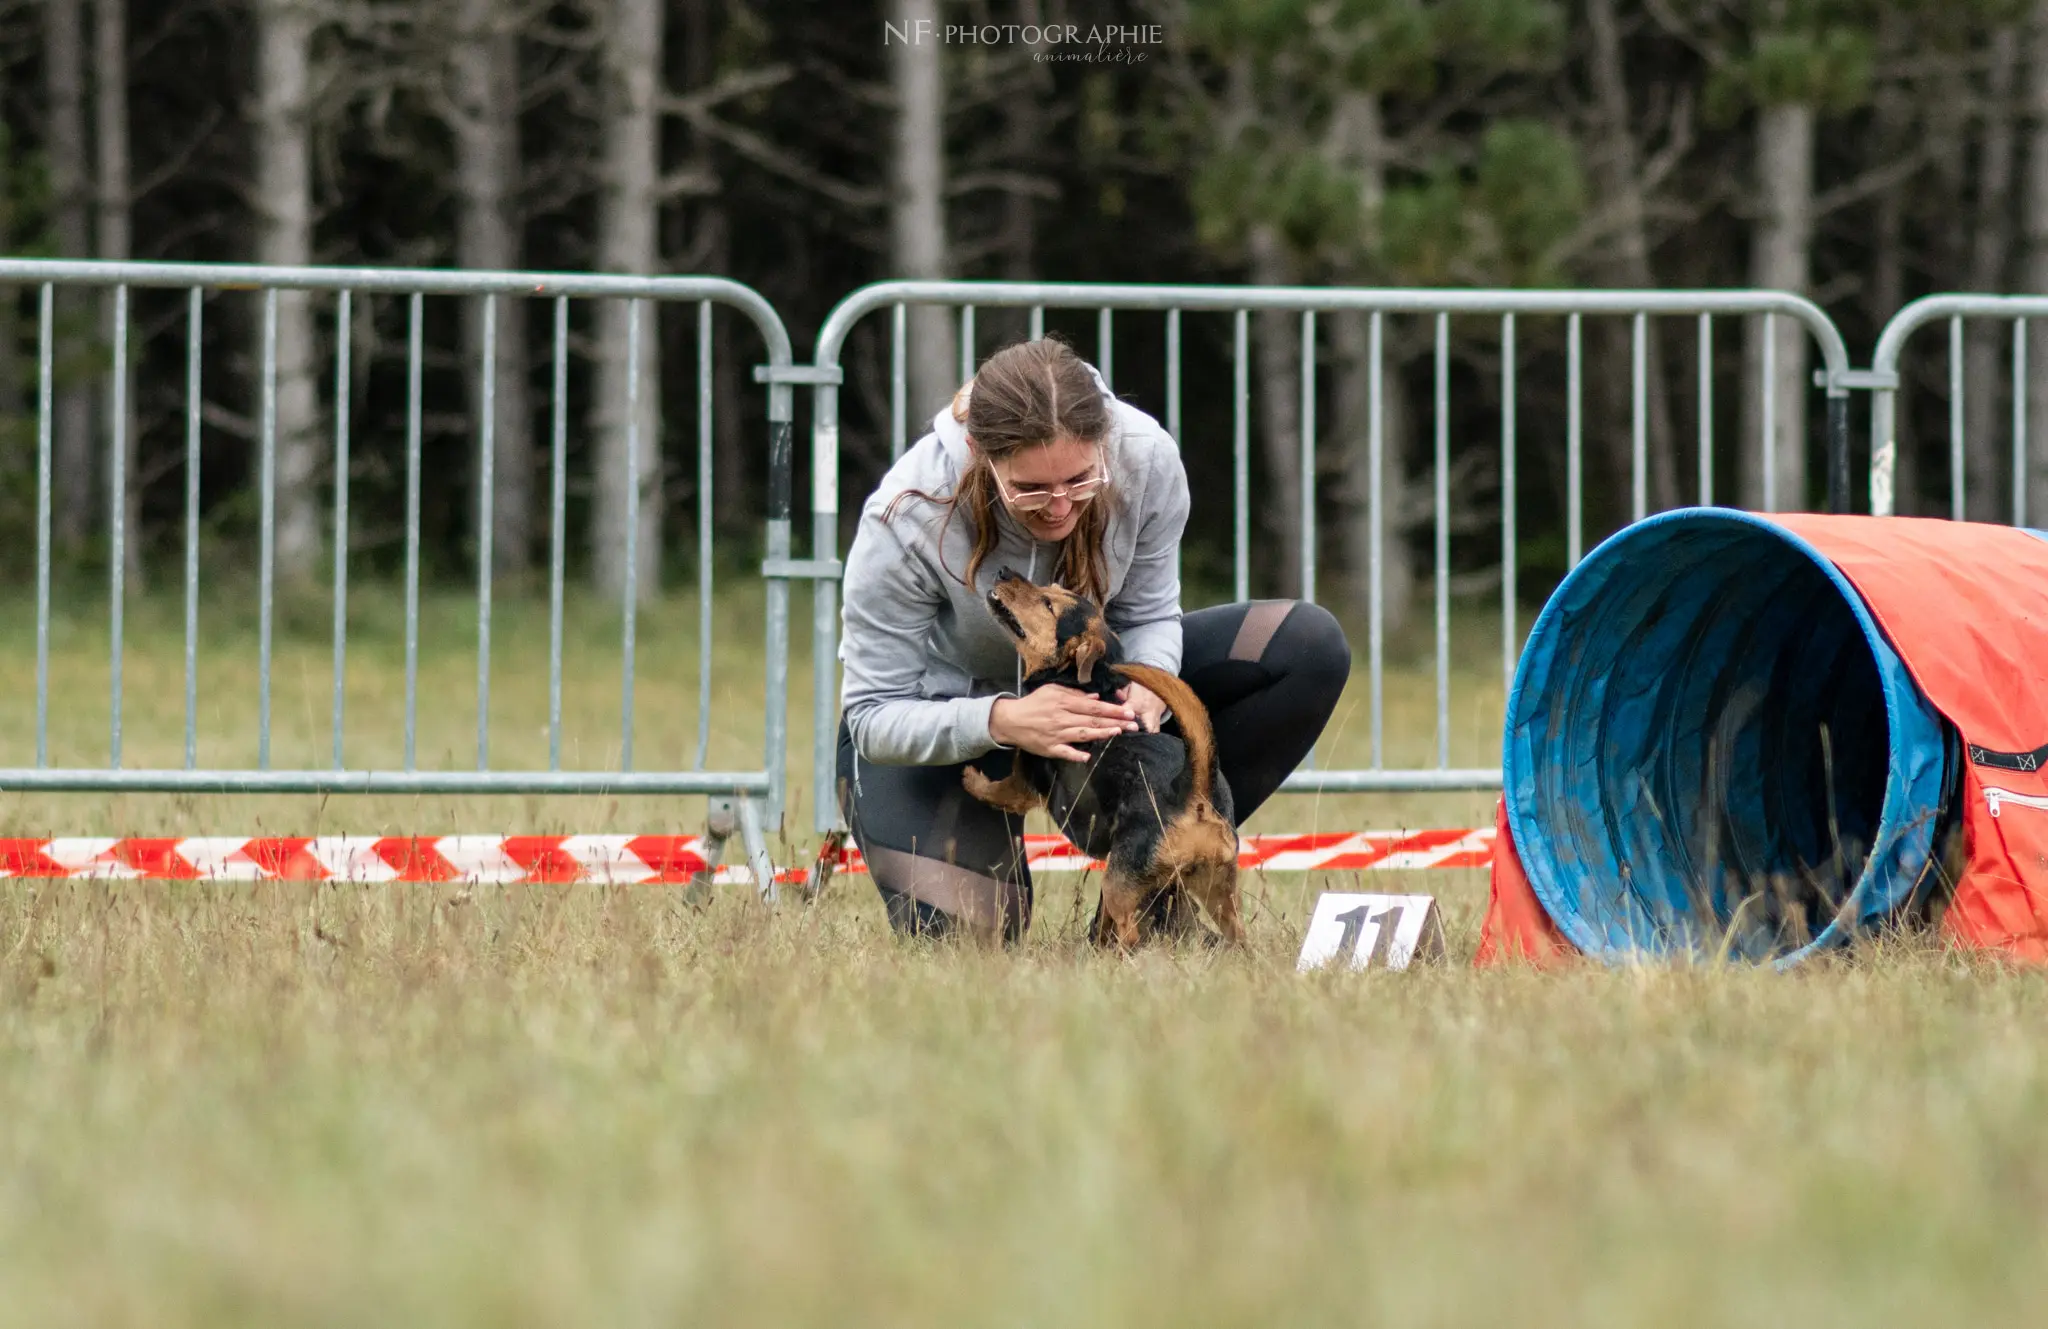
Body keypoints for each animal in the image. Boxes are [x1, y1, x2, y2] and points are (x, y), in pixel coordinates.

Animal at [962, 565, 1245, 950]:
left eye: (1047, 604)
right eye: (1051, 589)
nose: (1005, 571)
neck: (1084, 680)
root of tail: (1193, 792)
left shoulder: (1025, 779)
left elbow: (997, 791)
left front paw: (971, 779)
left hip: (1120, 882)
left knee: (1129, 930)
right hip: (1217, 889)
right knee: (1238, 933)